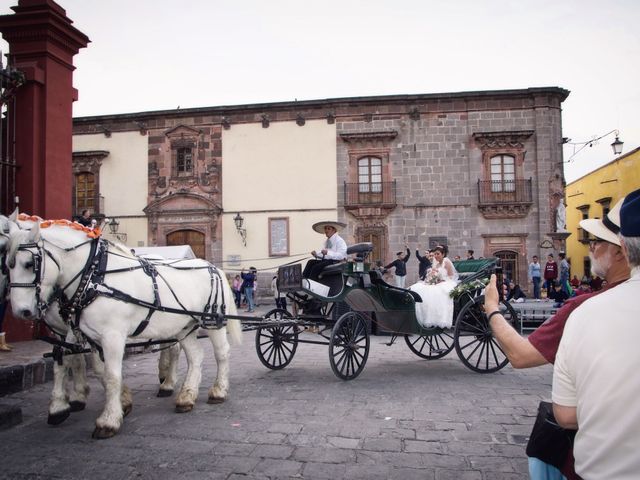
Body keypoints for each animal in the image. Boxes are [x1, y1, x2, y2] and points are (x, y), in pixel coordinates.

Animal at [7, 221, 242, 438]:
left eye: (29, 263)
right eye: (7, 264)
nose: (22, 311)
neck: (93, 276)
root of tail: (214, 267)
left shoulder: (111, 336)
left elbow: (110, 375)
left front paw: (108, 420)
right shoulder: (90, 336)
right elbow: (93, 369)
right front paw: (121, 402)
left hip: (212, 320)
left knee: (221, 353)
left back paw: (218, 391)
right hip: (185, 325)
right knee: (195, 356)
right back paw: (186, 397)